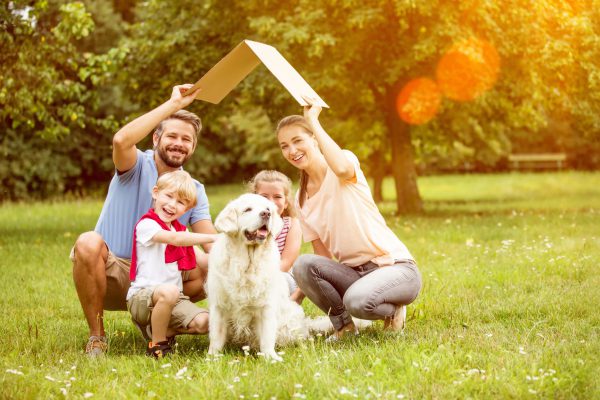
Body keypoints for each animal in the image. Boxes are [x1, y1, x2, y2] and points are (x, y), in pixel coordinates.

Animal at [207, 192, 310, 360]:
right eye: (247, 209)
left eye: (268, 209)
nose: (266, 214)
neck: (247, 264)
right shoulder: (219, 305)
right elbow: (216, 336)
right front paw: (212, 358)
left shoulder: (266, 306)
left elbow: (267, 336)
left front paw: (271, 357)